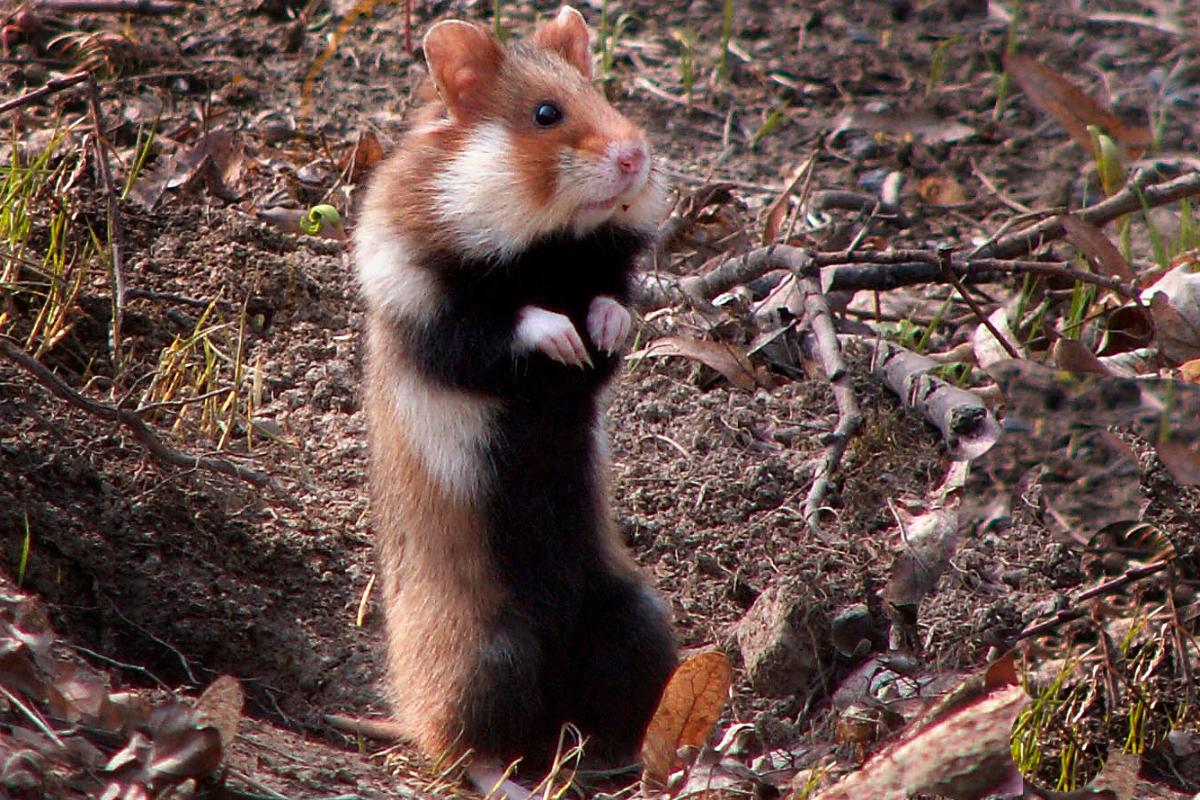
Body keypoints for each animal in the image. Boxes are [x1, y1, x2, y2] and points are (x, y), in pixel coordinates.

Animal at [353, 5, 678, 795]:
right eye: (545, 114)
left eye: (603, 93)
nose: (637, 156)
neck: (545, 243)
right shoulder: (430, 313)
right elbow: (507, 323)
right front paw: (560, 335)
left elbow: (610, 311)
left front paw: (601, 326)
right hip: (485, 654)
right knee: (464, 749)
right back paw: (517, 778)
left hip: (636, 619)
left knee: (610, 711)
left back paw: (625, 762)